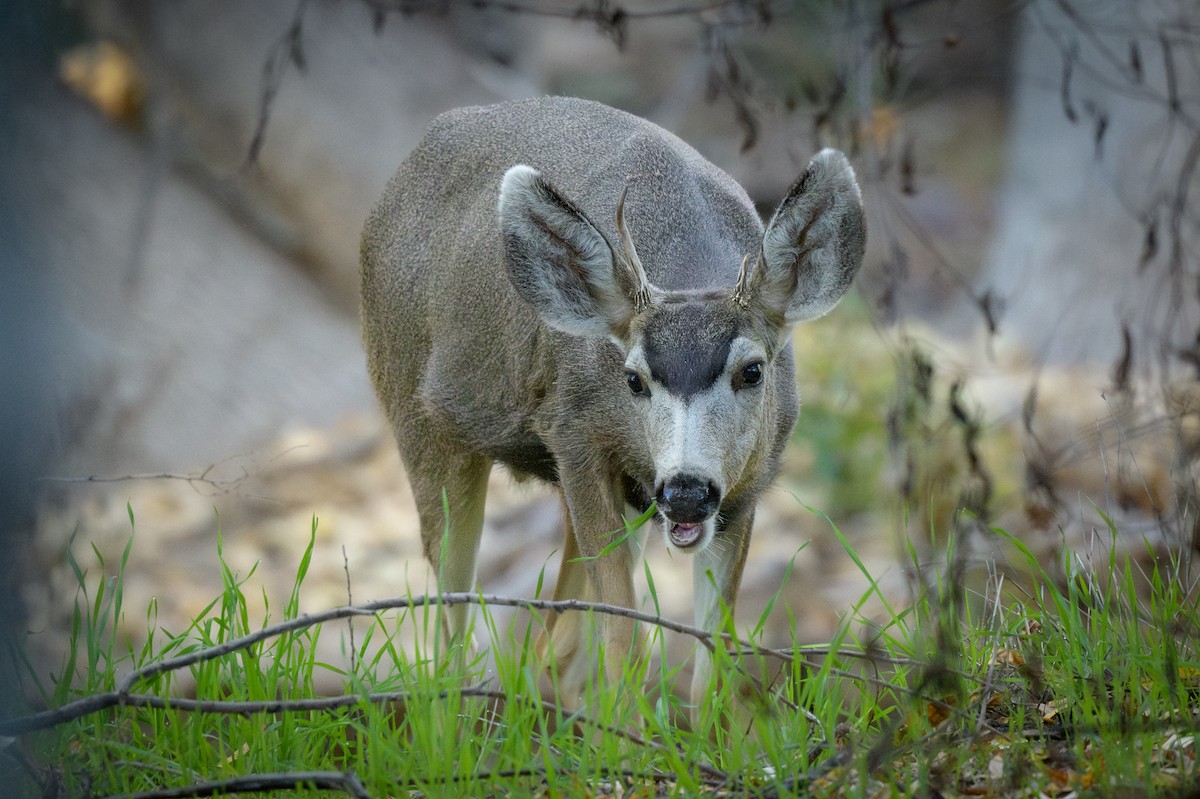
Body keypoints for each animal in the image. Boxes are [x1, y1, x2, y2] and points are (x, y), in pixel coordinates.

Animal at [360, 96, 865, 718]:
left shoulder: (747, 484)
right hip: (415, 409)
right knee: (454, 616)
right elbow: (624, 635)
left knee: (555, 639)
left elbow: (711, 658)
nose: (687, 491)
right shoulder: (574, 436)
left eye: (753, 370)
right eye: (633, 379)